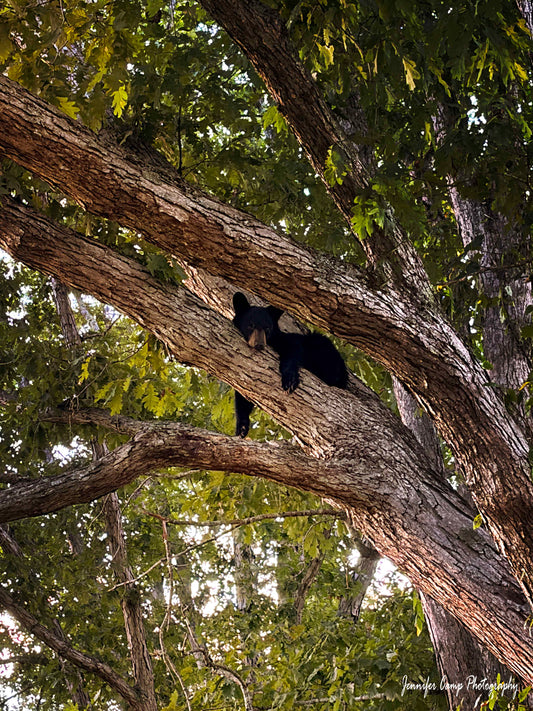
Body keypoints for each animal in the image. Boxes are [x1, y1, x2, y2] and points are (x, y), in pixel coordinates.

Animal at [232, 292, 348, 437]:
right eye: (250, 325)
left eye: (267, 328)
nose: (259, 344)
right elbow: (243, 392)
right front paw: (241, 426)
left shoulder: (285, 340)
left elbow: (292, 349)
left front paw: (290, 380)